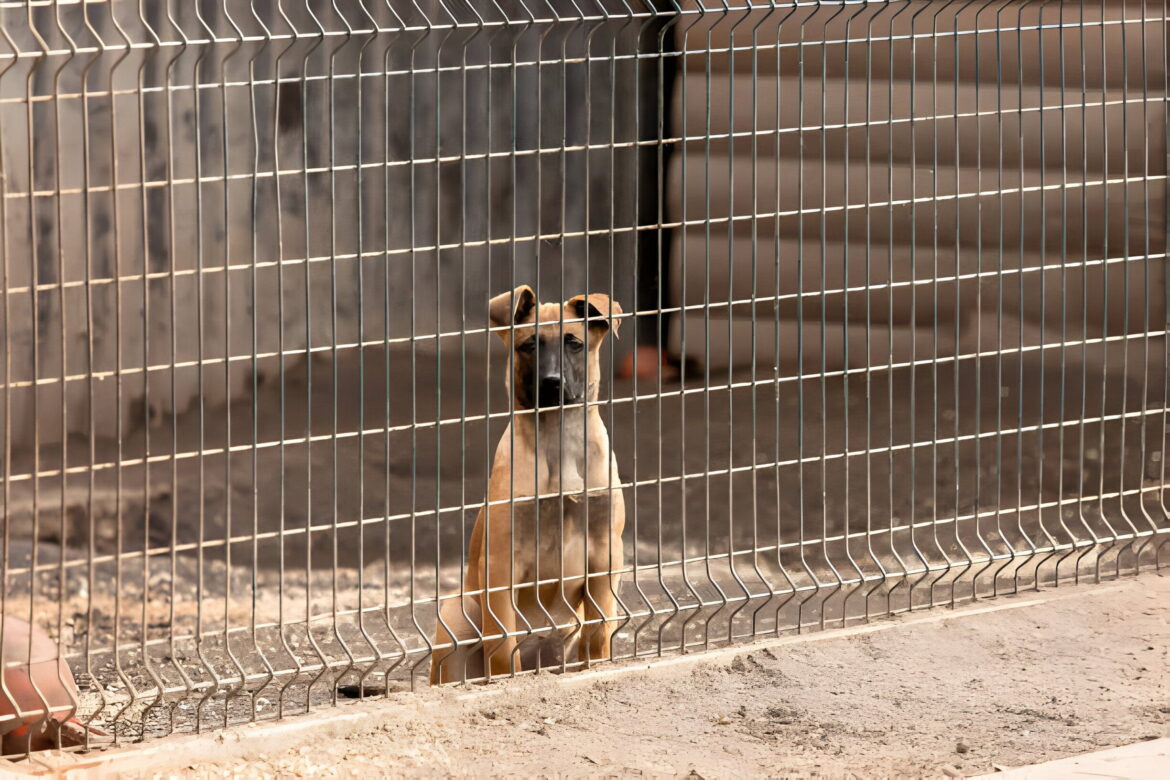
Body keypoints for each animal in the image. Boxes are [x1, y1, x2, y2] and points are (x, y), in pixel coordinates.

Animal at [430, 285, 627, 682]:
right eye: (529, 346)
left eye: (574, 343)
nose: (552, 383)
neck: (557, 442)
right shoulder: (501, 564)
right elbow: (505, 646)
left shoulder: (605, 554)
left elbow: (600, 632)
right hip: (458, 613)